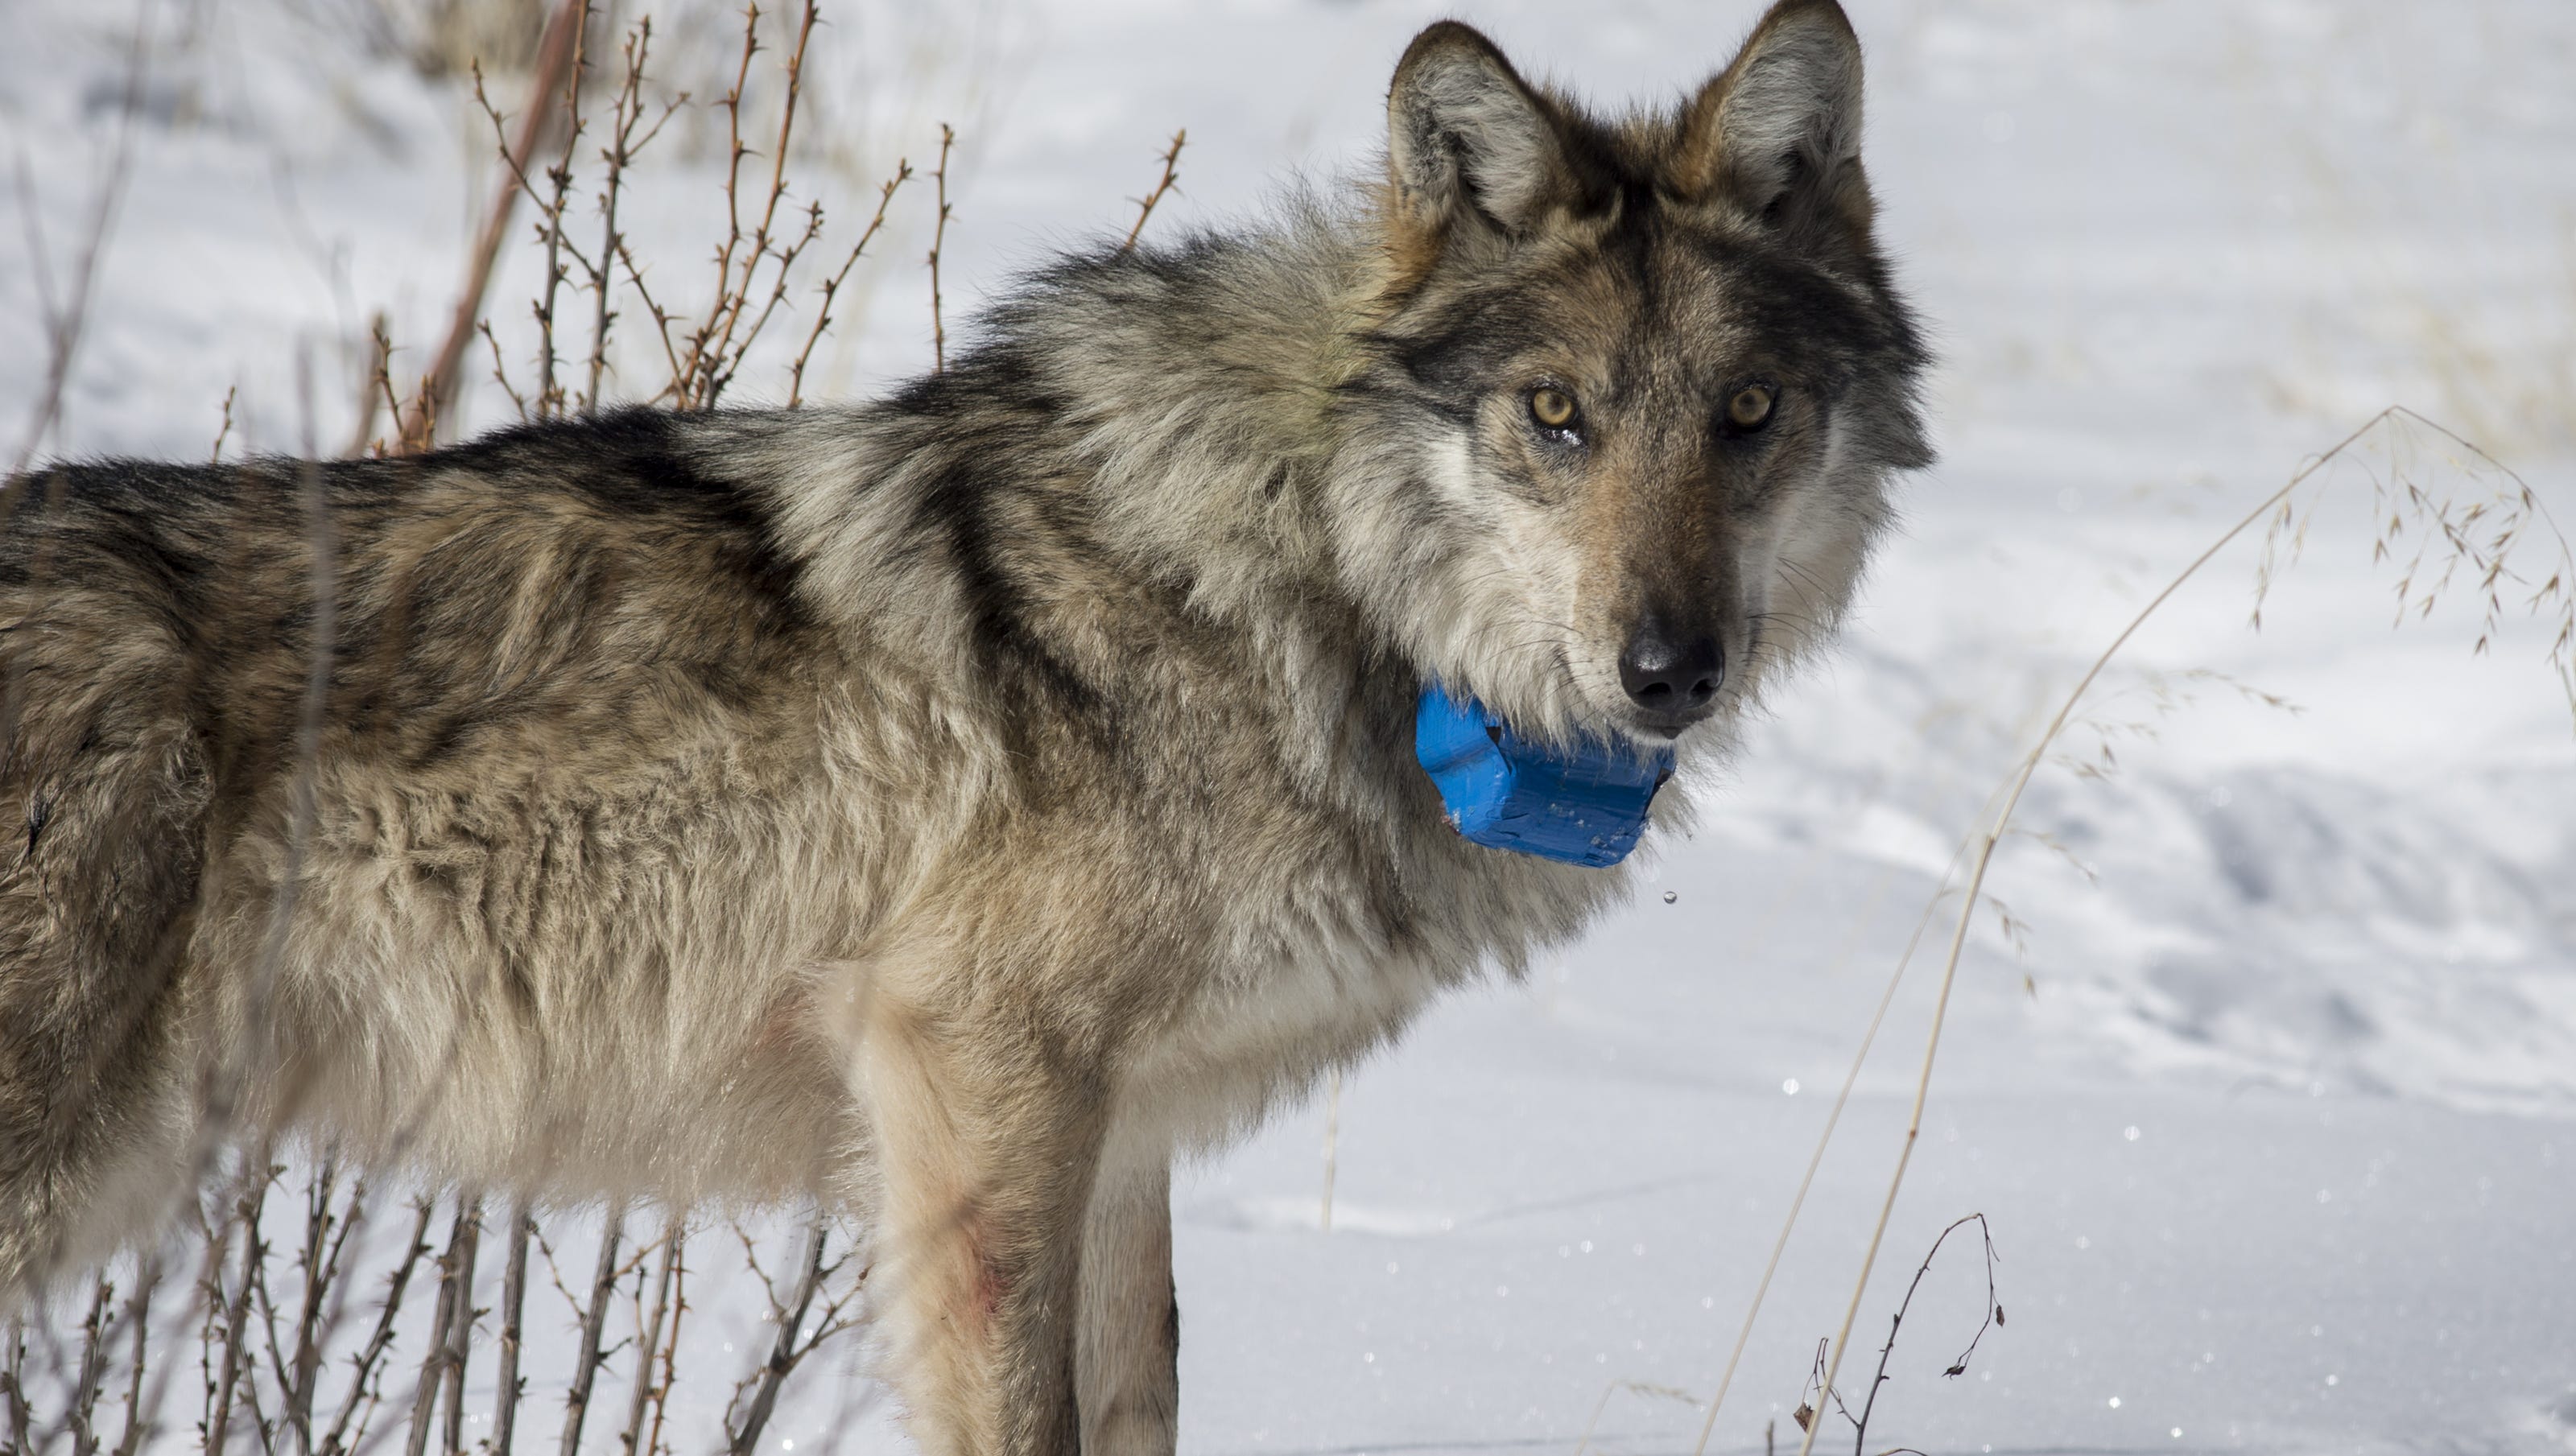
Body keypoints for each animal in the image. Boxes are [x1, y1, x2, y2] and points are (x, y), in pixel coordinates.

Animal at [0, 3, 1927, 1451]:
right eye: (1556, 415)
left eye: (1749, 413)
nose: (1669, 667)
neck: (1301, 582)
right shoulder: (975, 1075)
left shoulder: (1124, 1132)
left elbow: (1140, 1401)